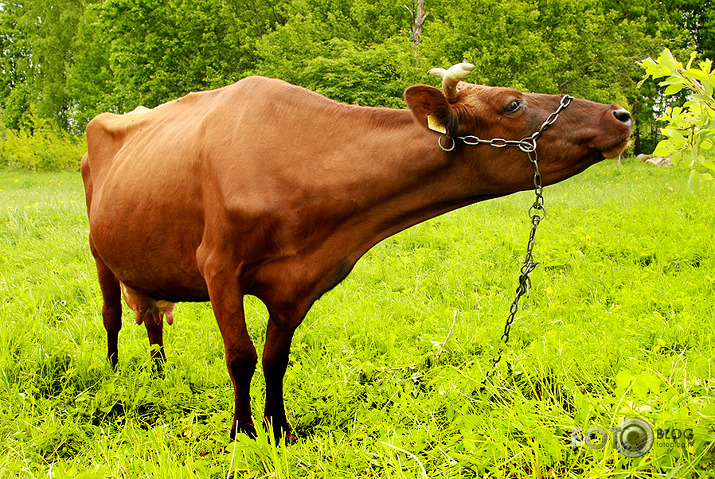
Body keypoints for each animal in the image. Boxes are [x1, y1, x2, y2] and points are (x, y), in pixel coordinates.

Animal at [82, 62, 632, 442]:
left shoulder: (299, 284)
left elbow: (275, 359)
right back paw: (114, 374)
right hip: (98, 252)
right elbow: (241, 357)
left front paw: (280, 430)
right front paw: (244, 433)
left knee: (153, 320)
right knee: (113, 316)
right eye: (513, 104)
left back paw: (160, 376)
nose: (622, 114)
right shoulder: (219, 266)